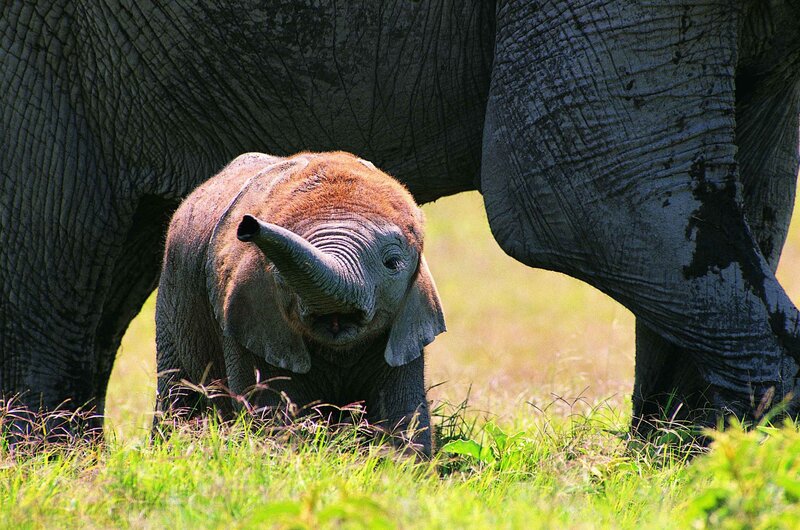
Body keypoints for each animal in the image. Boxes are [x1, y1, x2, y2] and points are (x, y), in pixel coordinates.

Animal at [154, 151, 445, 455]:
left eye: (392, 263)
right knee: (176, 392)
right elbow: (273, 414)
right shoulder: (251, 315)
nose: (248, 226)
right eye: (280, 271)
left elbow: (402, 417)